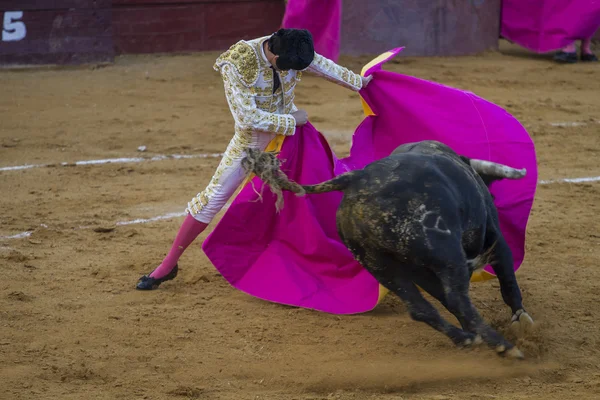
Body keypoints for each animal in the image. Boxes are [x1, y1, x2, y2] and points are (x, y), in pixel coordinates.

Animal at [243, 140, 536, 360]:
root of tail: (356, 179)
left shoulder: (418, 271)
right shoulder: (495, 240)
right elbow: (508, 284)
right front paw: (521, 321)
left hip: (378, 264)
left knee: (421, 308)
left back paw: (465, 338)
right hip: (445, 254)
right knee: (456, 298)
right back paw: (505, 346)